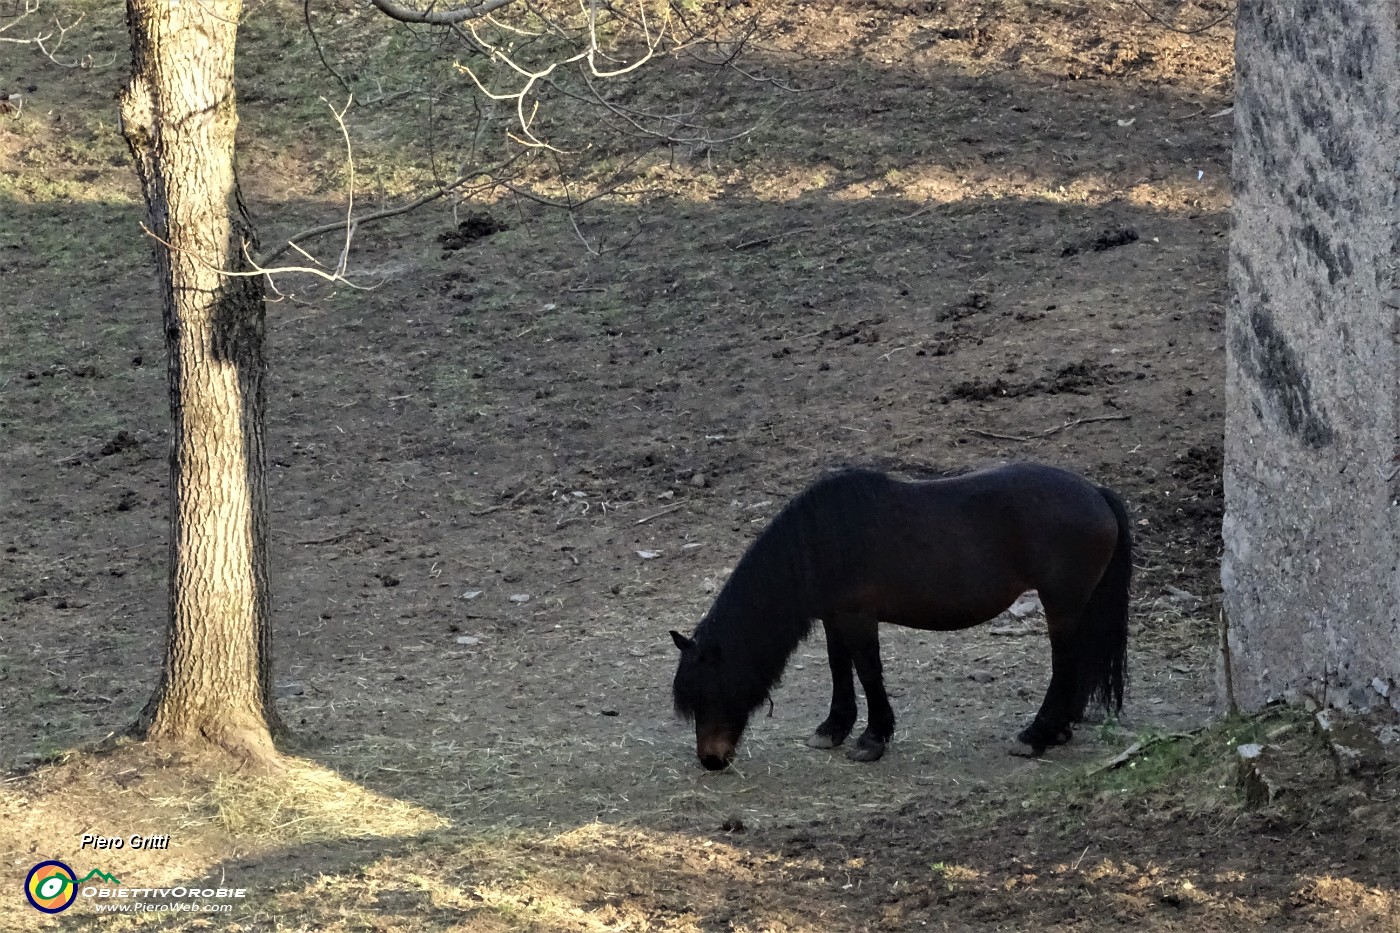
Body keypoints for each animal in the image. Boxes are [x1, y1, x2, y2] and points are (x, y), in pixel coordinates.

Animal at [660, 462, 1131, 767]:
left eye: (712, 690)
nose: (711, 760)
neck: (823, 540)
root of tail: (1097, 495)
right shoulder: (834, 616)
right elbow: (839, 668)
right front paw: (833, 729)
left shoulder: (858, 616)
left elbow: (868, 672)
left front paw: (872, 738)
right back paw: (1060, 730)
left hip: (1061, 606)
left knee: (1065, 666)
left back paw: (1037, 736)